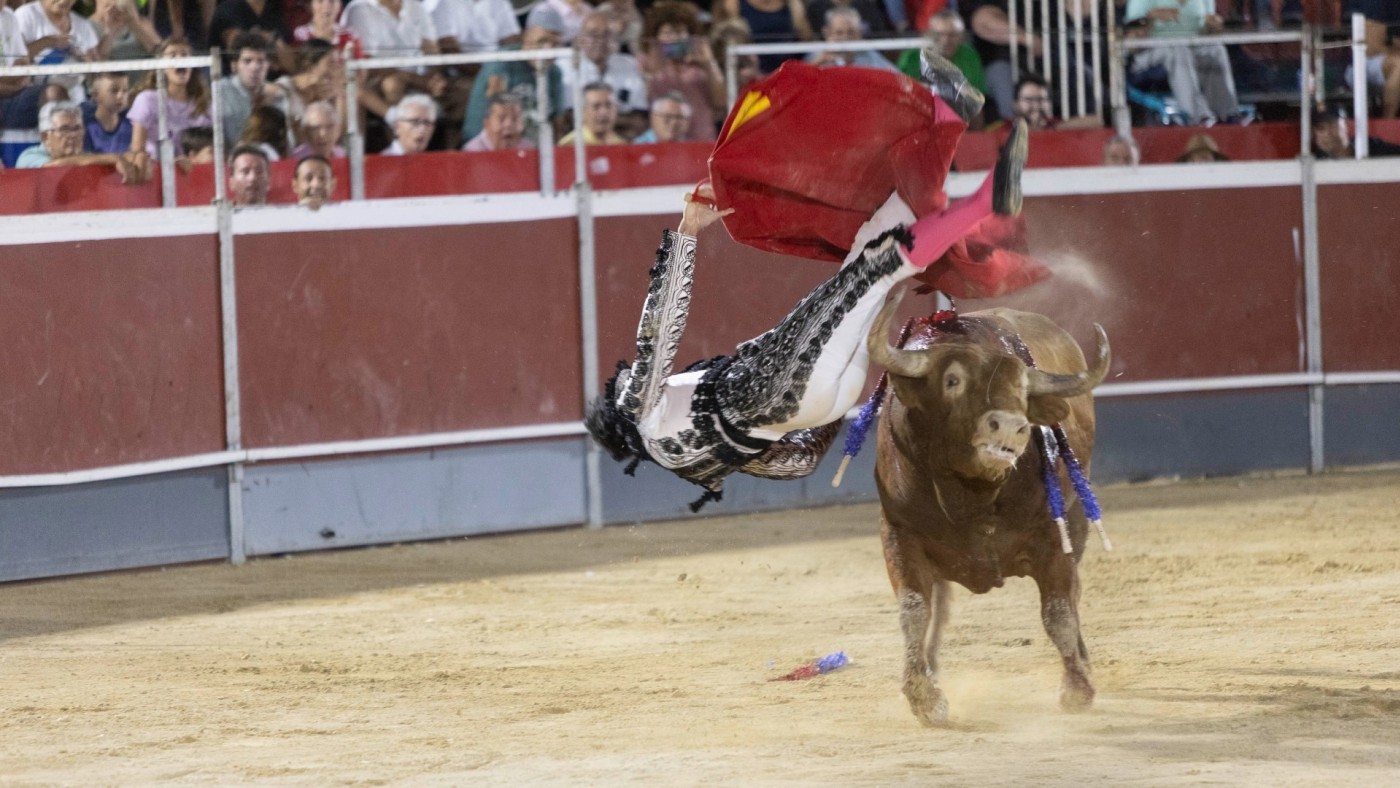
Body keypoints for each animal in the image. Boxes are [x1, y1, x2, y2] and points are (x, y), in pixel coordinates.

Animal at [868, 292, 1108, 722]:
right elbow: (914, 610)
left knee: (1074, 595)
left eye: (1024, 391)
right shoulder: (897, 532)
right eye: (952, 381)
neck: (972, 494)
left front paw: (1077, 688)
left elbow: (1059, 611)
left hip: (1079, 522)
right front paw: (923, 697)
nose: (1011, 426)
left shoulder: (1055, 534)